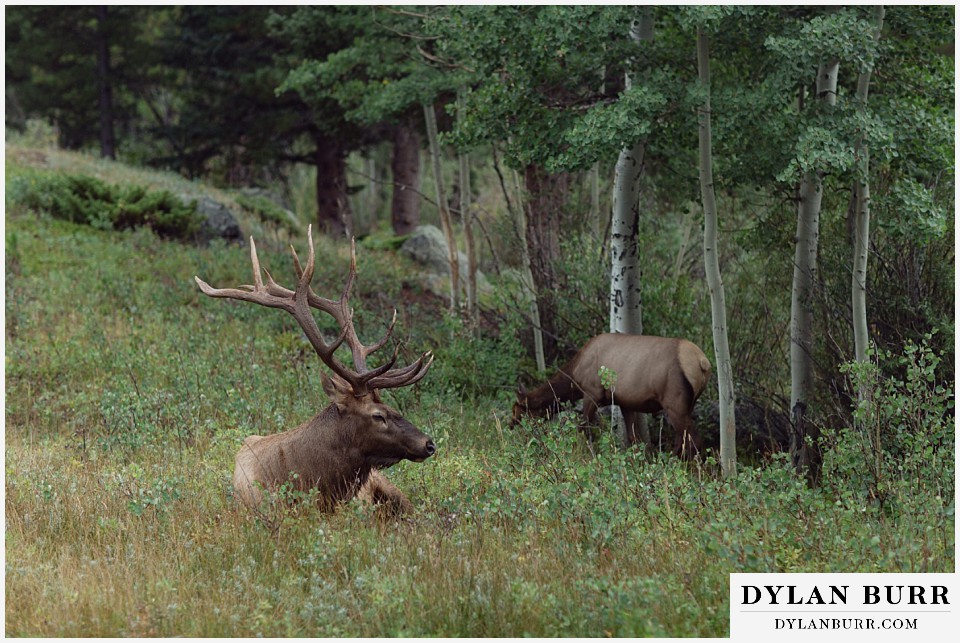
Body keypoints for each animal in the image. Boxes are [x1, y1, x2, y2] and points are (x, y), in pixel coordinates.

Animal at [511, 333, 711, 458]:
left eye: (517, 410)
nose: (510, 425)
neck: (574, 376)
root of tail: (702, 362)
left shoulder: (592, 392)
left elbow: (583, 427)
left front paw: (585, 454)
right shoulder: (626, 402)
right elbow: (633, 438)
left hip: (673, 403)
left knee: (693, 439)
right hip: (687, 404)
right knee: (683, 438)